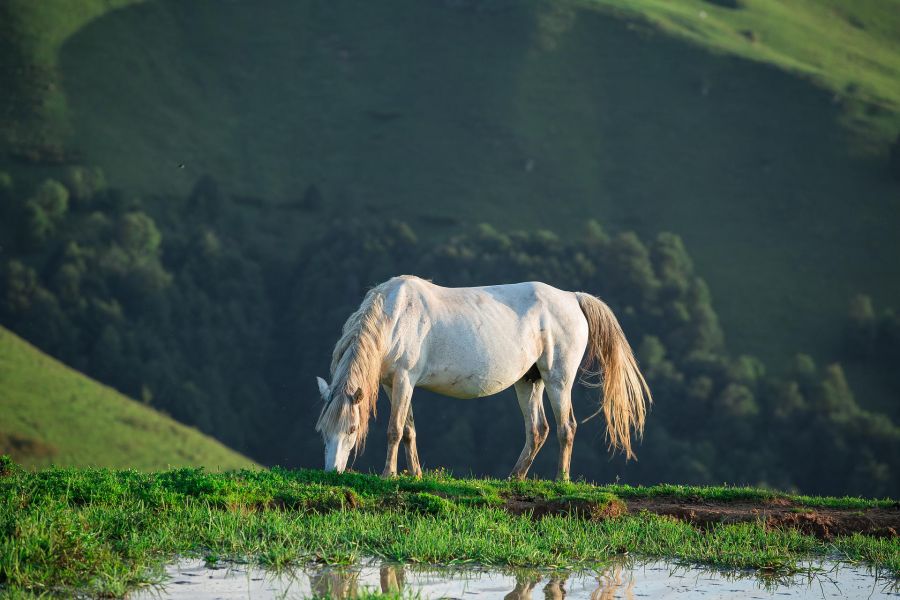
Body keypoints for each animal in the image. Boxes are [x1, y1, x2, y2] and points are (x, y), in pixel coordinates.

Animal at [318, 274, 652, 480]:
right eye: (322, 431)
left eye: (351, 429)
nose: (332, 472)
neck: (396, 314)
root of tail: (573, 298)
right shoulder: (394, 384)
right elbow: (409, 430)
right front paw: (416, 475)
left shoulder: (404, 379)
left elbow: (394, 430)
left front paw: (389, 475)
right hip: (529, 381)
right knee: (538, 429)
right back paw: (515, 477)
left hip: (558, 380)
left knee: (565, 427)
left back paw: (561, 479)